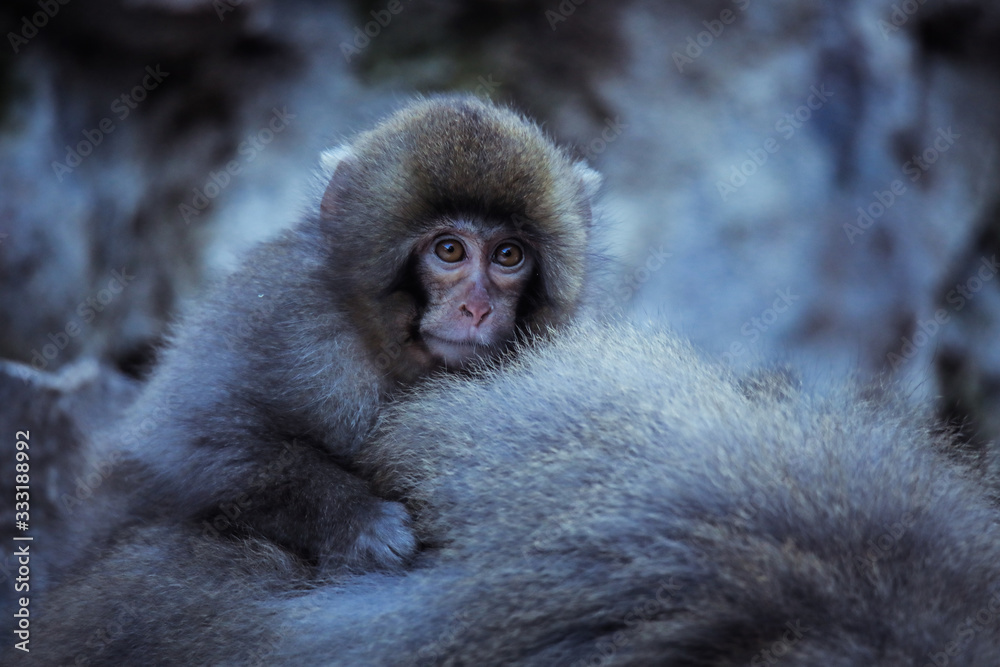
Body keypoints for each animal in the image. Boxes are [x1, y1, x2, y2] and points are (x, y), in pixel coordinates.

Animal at [66, 94, 602, 576]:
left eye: (508, 255)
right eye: (449, 250)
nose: (477, 307)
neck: (384, 342)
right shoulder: (283, 313)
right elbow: (188, 438)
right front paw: (358, 522)